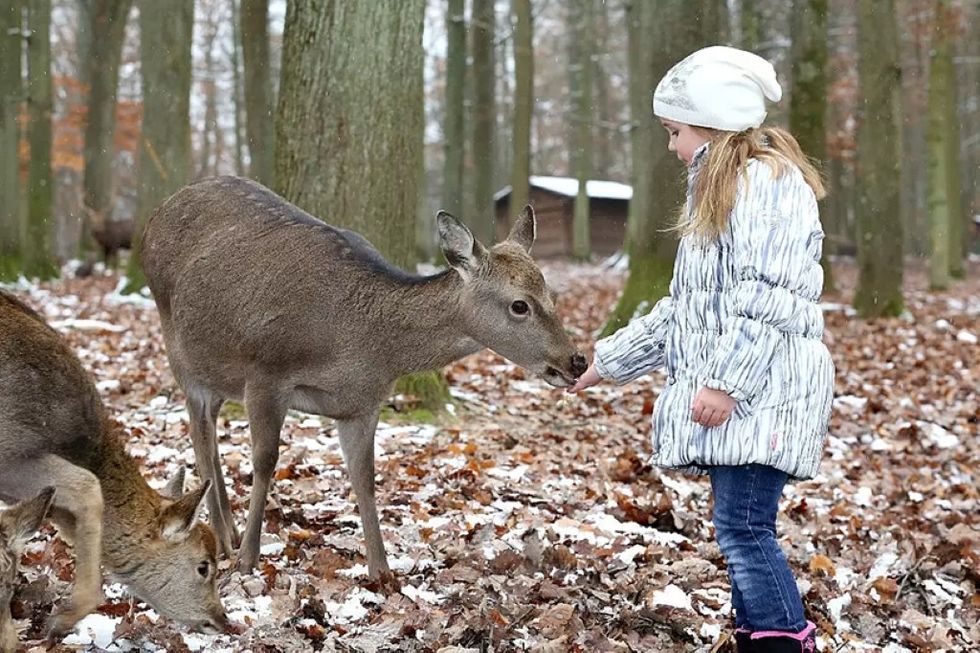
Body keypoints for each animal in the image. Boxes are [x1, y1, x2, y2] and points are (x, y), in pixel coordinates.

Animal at [140, 175, 588, 581]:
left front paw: (382, 571)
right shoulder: (265, 371)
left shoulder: (363, 402)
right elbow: (265, 462)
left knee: (211, 435)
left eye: (551, 295)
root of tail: (156, 214)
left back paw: (227, 531)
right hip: (178, 347)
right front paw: (248, 560)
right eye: (519, 305)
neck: (359, 345)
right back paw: (223, 539)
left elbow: (365, 476)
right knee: (200, 435)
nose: (577, 361)